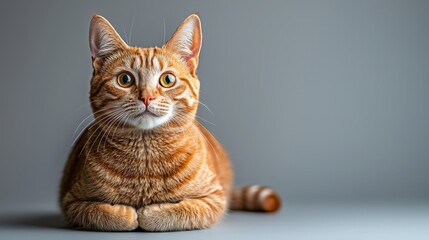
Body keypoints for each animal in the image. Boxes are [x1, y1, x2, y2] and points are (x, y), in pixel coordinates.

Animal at [60, 13, 280, 232]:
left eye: (167, 80)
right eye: (125, 79)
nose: (146, 97)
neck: (145, 156)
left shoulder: (214, 199)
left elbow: (178, 211)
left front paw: (148, 212)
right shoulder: (72, 202)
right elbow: (106, 214)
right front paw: (128, 213)